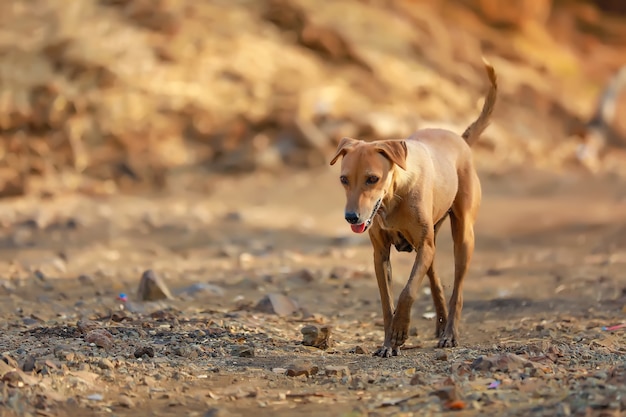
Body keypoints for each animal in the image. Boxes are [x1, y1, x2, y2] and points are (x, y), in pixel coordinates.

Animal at [330, 60, 494, 356]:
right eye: (344, 179)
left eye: (372, 179)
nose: (351, 217)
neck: (394, 197)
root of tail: (460, 139)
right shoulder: (381, 254)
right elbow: (387, 303)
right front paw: (388, 343)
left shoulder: (424, 246)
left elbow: (407, 292)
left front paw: (400, 332)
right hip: (429, 243)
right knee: (436, 280)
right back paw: (440, 324)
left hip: (462, 237)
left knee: (457, 290)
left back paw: (449, 334)